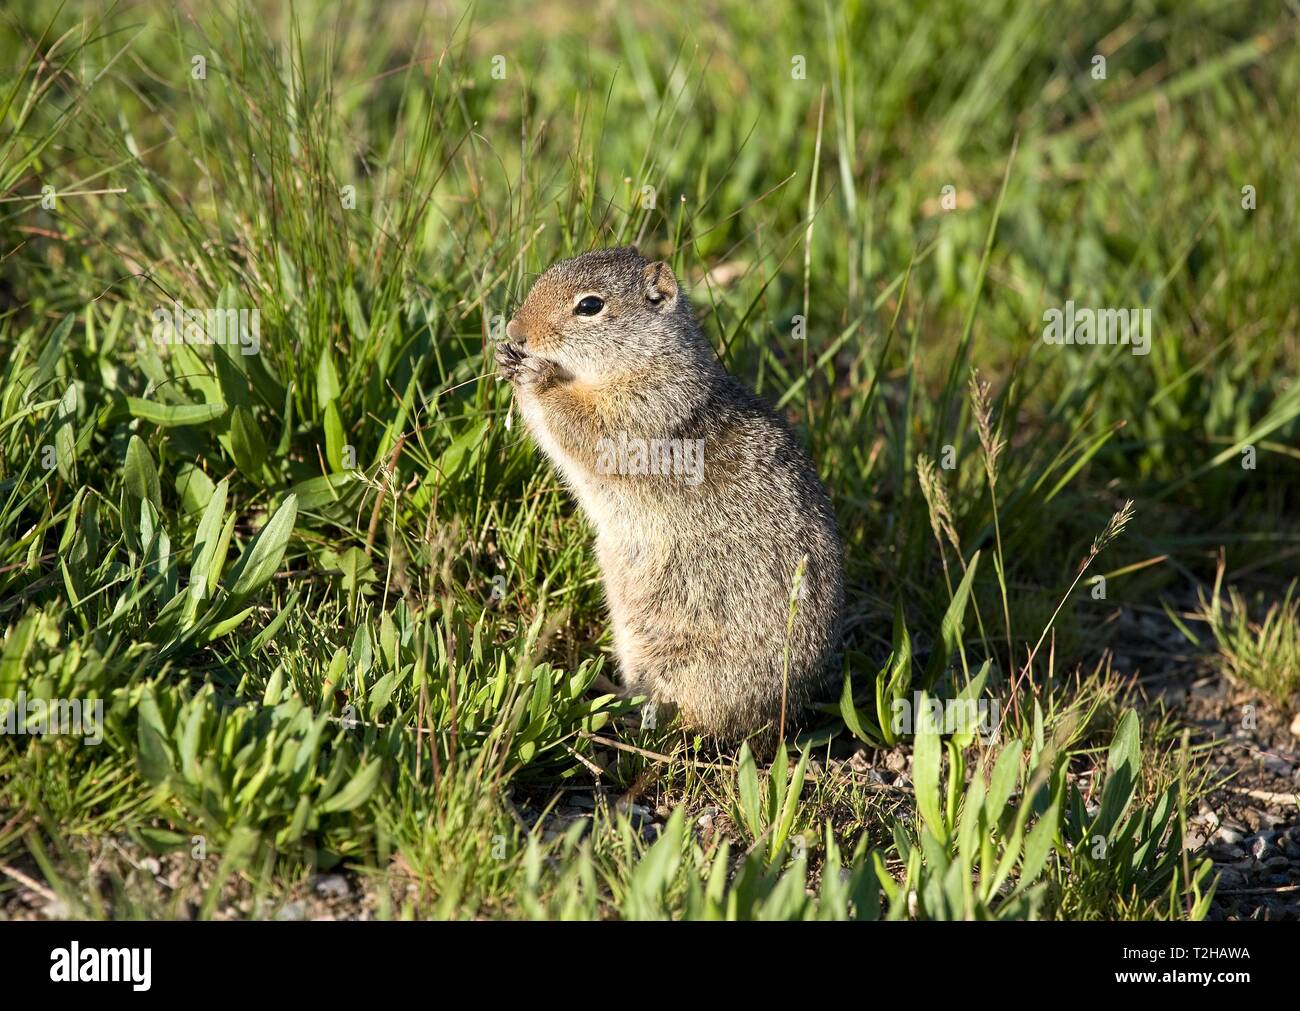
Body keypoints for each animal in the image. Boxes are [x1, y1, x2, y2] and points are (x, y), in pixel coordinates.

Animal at [493, 243, 842, 732]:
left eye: (590, 306)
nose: (515, 332)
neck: (646, 360)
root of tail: (783, 712)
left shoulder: (644, 411)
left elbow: (585, 425)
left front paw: (537, 378)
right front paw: (506, 360)